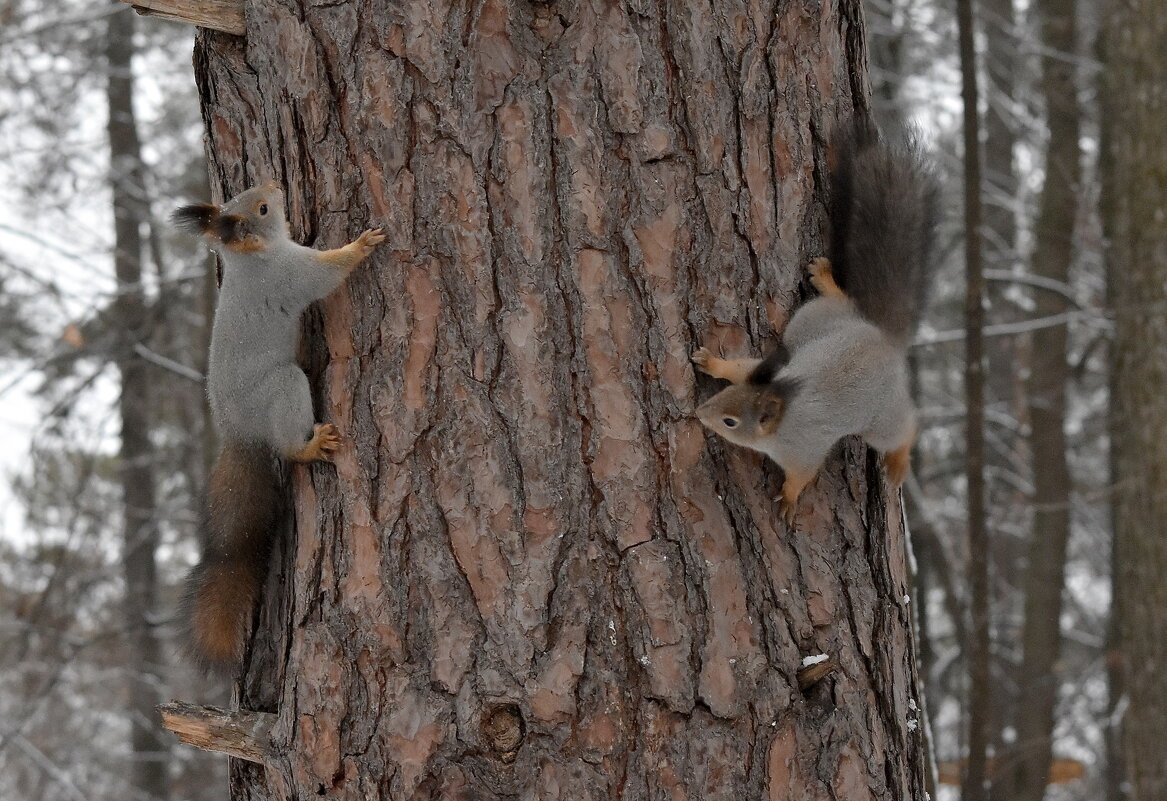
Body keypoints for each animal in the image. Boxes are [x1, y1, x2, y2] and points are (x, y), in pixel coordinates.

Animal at [172, 183, 385, 677]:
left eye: (253, 197)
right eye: (265, 208)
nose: (273, 184)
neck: (252, 258)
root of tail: (241, 433)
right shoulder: (292, 274)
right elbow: (326, 273)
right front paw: (360, 245)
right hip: (285, 387)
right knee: (288, 447)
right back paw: (310, 446)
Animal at [690, 117, 938, 520]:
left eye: (731, 422)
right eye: (725, 395)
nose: (700, 412)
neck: (779, 401)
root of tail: (882, 337)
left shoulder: (804, 449)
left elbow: (802, 475)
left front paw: (790, 500)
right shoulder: (769, 368)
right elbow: (742, 367)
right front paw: (711, 361)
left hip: (881, 416)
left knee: (905, 429)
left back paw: (900, 461)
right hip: (814, 321)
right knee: (839, 301)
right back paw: (824, 279)